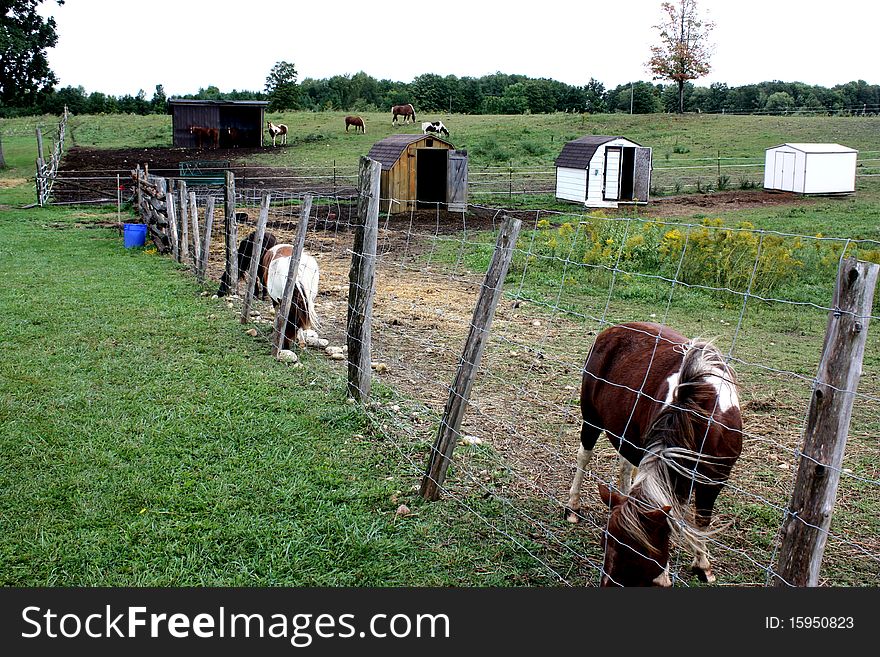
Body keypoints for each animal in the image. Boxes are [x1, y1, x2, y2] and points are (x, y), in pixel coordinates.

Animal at [564, 320, 744, 588]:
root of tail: (614, 329)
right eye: (604, 542)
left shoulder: (715, 479)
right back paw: (572, 508)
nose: (608, 585)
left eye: (637, 554)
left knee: (626, 465)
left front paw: (703, 566)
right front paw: (666, 575)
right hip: (591, 417)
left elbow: (701, 520)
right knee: (584, 456)